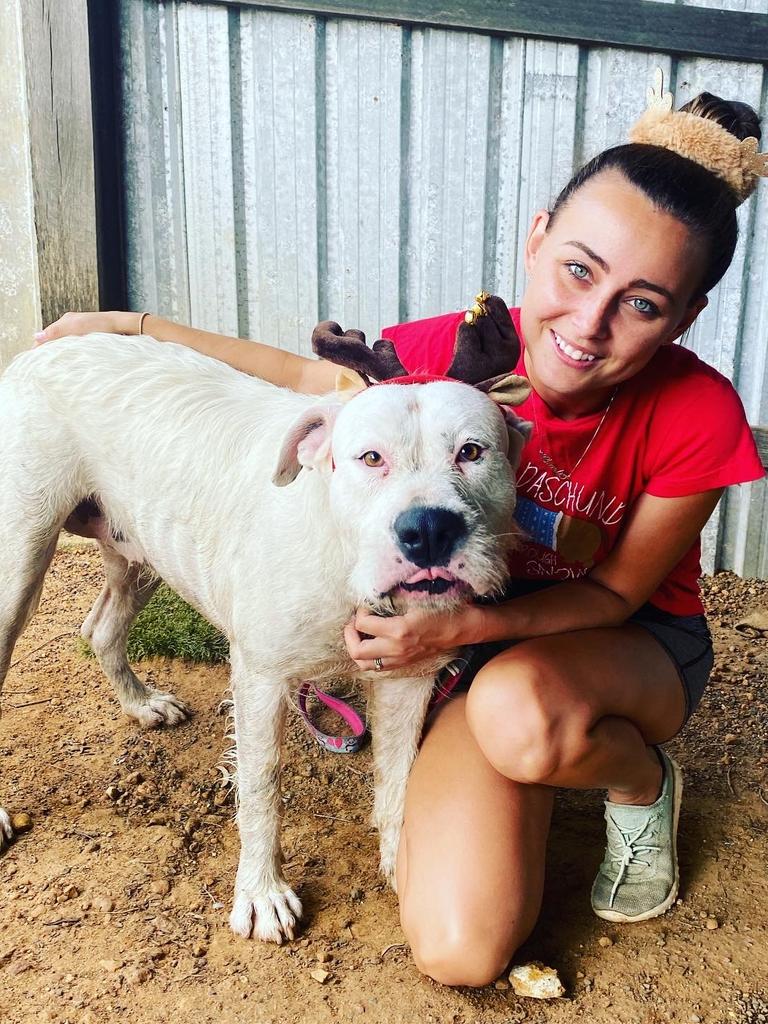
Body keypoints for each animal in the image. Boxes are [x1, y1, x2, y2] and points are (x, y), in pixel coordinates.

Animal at [0, 331, 528, 937]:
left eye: (472, 451)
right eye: (371, 458)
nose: (429, 530)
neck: (344, 561)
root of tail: (46, 346)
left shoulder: (407, 683)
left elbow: (400, 781)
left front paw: (402, 865)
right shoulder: (261, 678)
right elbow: (261, 787)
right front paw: (262, 893)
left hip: (137, 548)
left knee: (102, 628)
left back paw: (141, 704)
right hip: (19, 563)